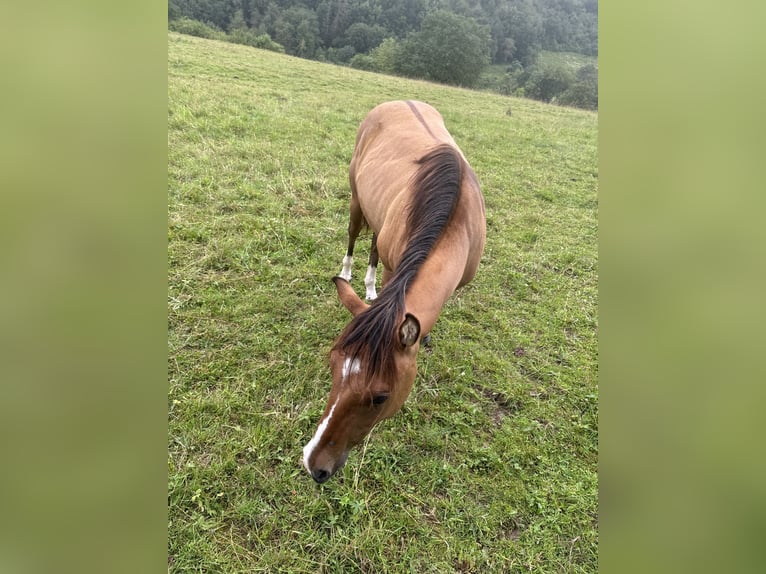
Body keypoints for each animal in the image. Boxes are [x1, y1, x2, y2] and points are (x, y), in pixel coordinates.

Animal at [302, 101, 486, 484]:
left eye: (379, 397)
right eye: (332, 366)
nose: (314, 464)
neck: (455, 219)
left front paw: (424, 336)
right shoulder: (393, 268)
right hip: (357, 200)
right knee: (355, 235)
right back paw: (351, 275)